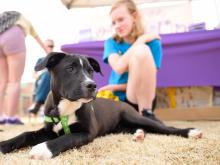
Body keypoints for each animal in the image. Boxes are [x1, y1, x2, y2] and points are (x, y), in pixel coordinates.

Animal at [0, 52, 203, 159]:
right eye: (70, 69)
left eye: (91, 71)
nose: (92, 85)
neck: (67, 107)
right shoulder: (49, 128)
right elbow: (26, 134)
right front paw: (5, 144)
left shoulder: (86, 132)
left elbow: (66, 138)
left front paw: (43, 149)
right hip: (121, 125)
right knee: (136, 129)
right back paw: (138, 134)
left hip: (134, 116)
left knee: (165, 128)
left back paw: (191, 132)